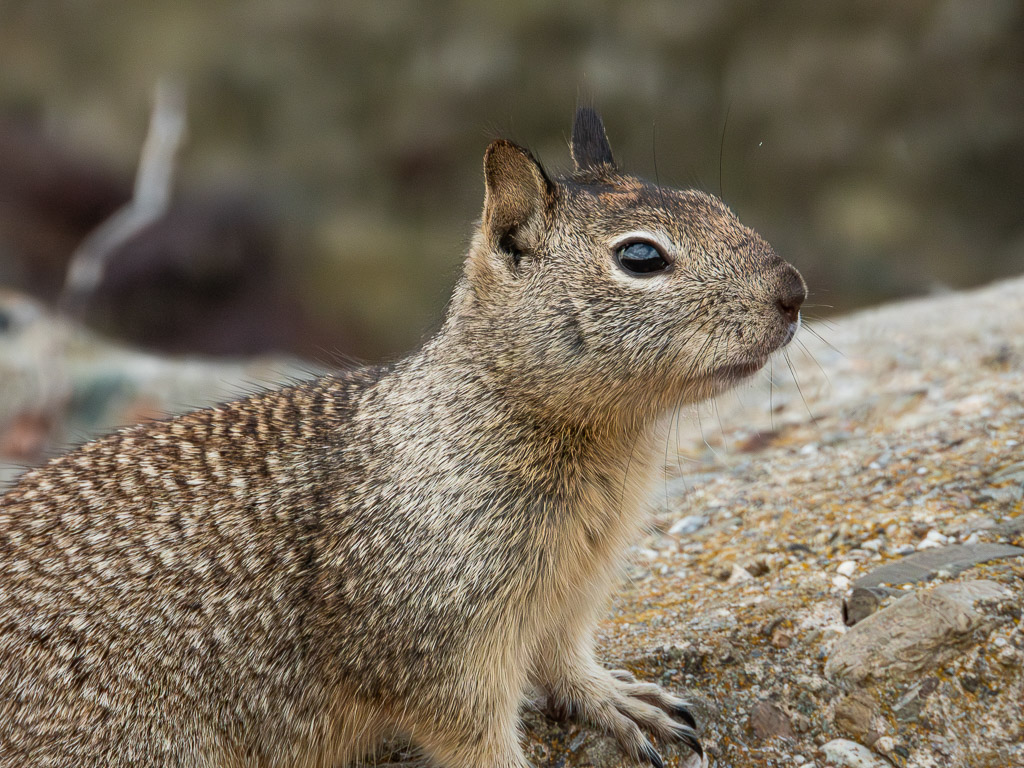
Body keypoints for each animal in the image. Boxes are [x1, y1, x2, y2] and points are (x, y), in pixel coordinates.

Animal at [0, 108, 805, 768]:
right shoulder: (441, 645)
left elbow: (566, 663)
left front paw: (621, 700)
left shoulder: (569, 596)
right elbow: (474, 735)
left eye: (719, 206)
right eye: (641, 257)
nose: (794, 290)